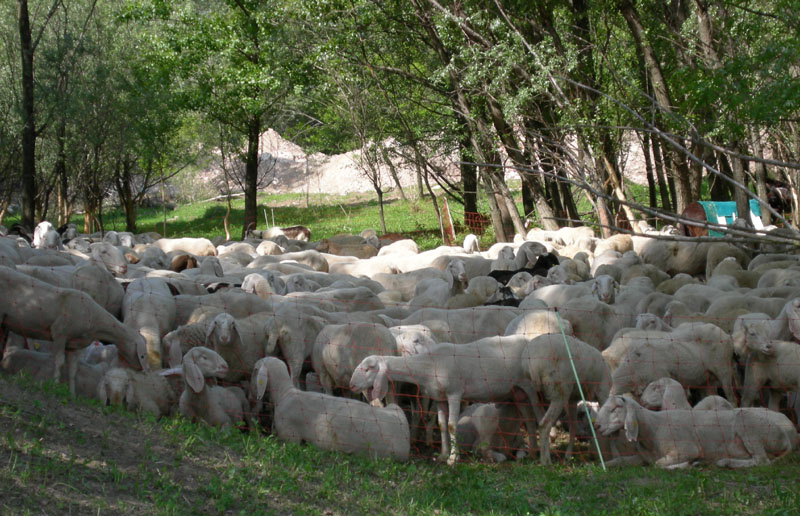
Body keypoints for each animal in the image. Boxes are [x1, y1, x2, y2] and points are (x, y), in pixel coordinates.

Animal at [0, 266, 148, 392]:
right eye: (141, 354)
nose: (141, 369)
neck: (95, 319)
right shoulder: (59, 333)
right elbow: (59, 362)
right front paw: (54, 385)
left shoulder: (74, 345)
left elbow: (73, 370)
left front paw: (71, 393)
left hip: (4, 322)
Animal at [592, 396, 796, 468]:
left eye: (615, 408)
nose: (597, 426)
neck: (652, 427)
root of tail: (788, 437)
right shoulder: (643, 457)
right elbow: (620, 460)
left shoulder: (687, 448)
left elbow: (658, 464)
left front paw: (688, 464)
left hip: (748, 424)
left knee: (762, 461)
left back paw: (726, 463)